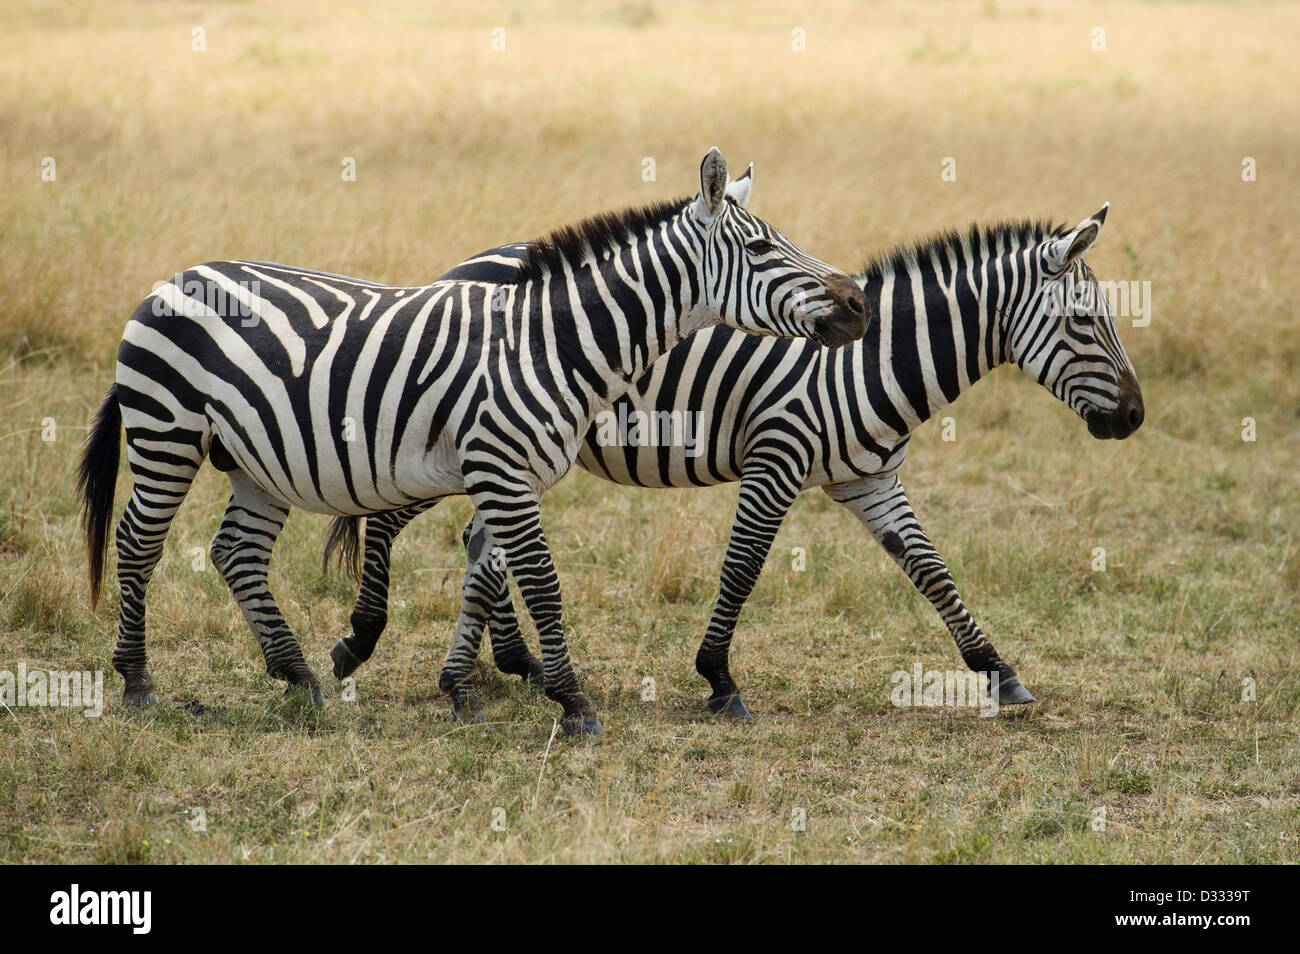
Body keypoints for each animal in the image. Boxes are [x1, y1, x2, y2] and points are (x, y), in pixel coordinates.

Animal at [75, 148, 870, 736]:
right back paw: (138, 681)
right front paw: (574, 704)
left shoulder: (507, 474)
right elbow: (542, 584)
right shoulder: (503, 471)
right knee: (138, 542)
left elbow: (487, 576)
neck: (552, 344)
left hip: (253, 462)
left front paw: (464, 689)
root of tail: (170, 280)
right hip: (168, 431)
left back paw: (297, 677)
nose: (860, 302)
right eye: (762, 246)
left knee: (235, 552)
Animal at [325, 203, 1143, 721]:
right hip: (451, 441)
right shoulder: (776, 456)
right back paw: (361, 638)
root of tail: (460, 266)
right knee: (391, 520)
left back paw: (513, 660)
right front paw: (718, 678)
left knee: (479, 540)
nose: (1135, 417)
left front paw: (999, 673)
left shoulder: (871, 478)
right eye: (1083, 321)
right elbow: (743, 569)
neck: (866, 362)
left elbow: (932, 569)